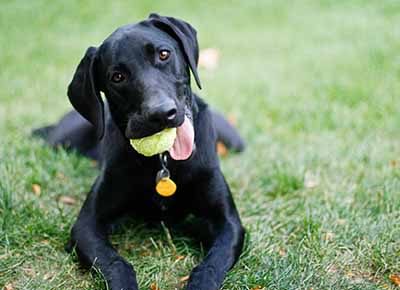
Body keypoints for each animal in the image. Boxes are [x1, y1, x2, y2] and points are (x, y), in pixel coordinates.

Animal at [34, 14, 245, 290]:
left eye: (164, 54)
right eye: (117, 77)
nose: (161, 114)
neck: (164, 161)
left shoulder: (228, 223)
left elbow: (212, 263)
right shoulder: (87, 225)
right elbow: (115, 263)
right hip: (63, 140)